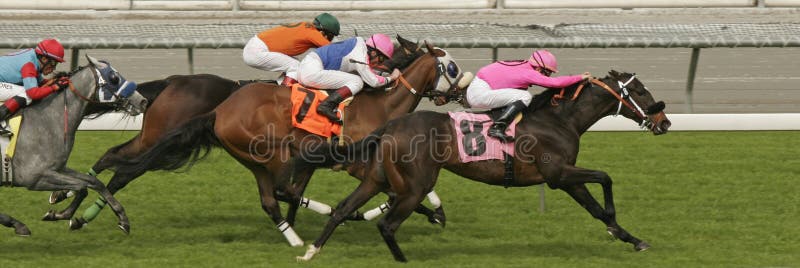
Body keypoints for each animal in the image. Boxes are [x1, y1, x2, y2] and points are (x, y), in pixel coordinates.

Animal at [0, 55, 147, 236]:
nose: (143, 101)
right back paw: (17, 224)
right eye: (114, 78)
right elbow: (83, 186)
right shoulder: (35, 177)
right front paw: (61, 214)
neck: (47, 121)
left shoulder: (59, 168)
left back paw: (17, 224)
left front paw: (122, 218)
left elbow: (93, 182)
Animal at [296, 70, 672, 260]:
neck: (559, 119)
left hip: (376, 178)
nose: (665, 121)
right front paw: (615, 224)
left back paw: (312, 251)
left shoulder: (566, 178)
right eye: (640, 90)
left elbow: (594, 206)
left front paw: (629, 237)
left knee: (342, 209)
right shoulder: (557, 174)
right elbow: (605, 178)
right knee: (387, 225)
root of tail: (391, 124)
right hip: (416, 185)